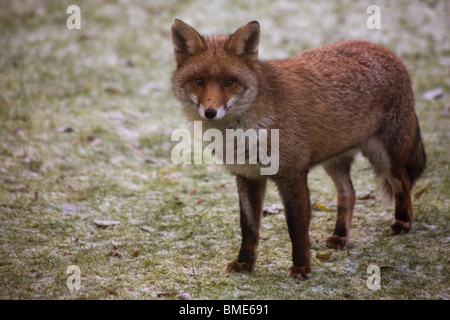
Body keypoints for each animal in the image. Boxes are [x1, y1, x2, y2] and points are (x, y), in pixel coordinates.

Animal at [170, 20, 426, 280]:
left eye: (229, 82)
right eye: (199, 81)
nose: (210, 112)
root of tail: (387, 50)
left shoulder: (291, 174)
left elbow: (297, 227)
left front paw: (302, 267)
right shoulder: (247, 175)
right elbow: (249, 227)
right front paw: (244, 263)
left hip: (385, 156)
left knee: (402, 182)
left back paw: (403, 222)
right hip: (334, 160)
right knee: (349, 194)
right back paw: (340, 236)